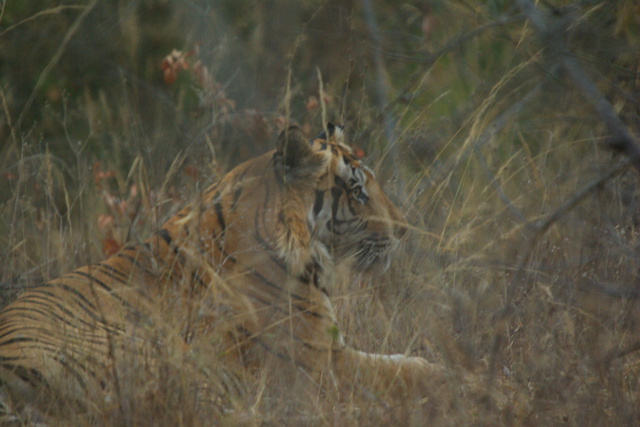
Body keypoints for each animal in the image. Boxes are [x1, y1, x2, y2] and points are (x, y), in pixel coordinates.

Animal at [0, 123, 442, 418]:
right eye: (357, 191)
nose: (404, 229)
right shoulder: (317, 366)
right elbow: (409, 373)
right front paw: (451, 375)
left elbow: (404, 361)